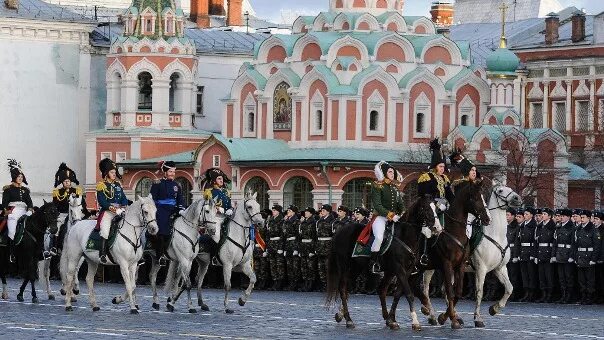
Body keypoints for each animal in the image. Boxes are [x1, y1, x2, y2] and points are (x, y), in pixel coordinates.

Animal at [328, 195, 436, 330]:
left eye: (435, 208)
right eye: (425, 208)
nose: (434, 227)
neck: (404, 236)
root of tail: (339, 232)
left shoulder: (407, 270)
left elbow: (398, 294)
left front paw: (391, 320)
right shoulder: (399, 269)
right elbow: (409, 294)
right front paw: (415, 322)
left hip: (357, 267)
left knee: (361, 288)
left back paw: (342, 314)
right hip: (345, 266)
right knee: (343, 288)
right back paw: (348, 320)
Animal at [418, 181, 494, 330]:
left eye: (484, 197)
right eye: (475, 197)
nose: (487, 218)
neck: (455, 231)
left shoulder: (460, 266)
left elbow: (457, 292)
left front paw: (445, 317)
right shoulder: (447, 264)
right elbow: (450, 291)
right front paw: (452, 319)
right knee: (422, 288)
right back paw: (428, 312)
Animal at [470, 185, 520, 328]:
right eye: (500, 190)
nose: (517, 198)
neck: (496, 234)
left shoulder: (500, 268)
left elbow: (509, 288)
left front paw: (494, 308)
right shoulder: (481, 269)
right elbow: (479, 292)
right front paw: (477, 319)